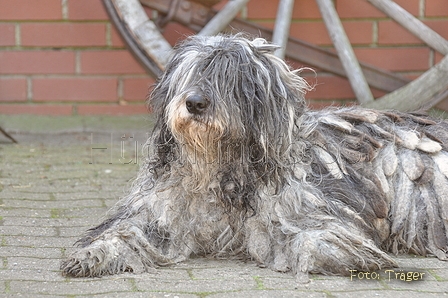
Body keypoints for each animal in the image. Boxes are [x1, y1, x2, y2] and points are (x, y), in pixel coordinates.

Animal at [62, 34, 448, 280]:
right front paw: (90, 255)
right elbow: (123, 232)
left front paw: (353, 255)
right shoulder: (160, 214)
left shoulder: (294, 213)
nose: (195, 103)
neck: (219, 168)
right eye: (194, 73)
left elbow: (316, 236)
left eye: (231, 77)